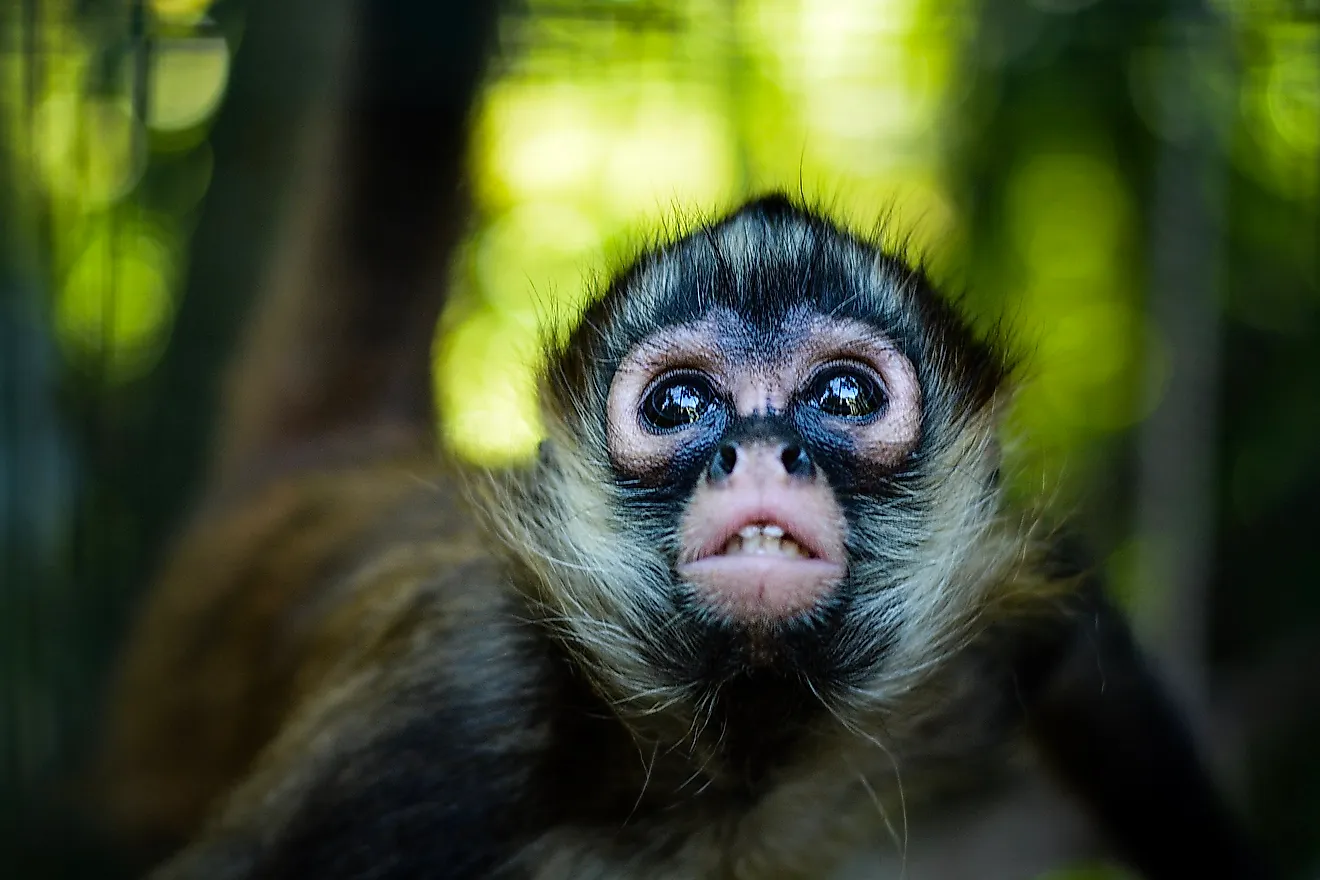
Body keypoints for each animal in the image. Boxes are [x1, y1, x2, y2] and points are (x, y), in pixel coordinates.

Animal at [93, 1, 1267, 880]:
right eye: (676, 407)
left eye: (843, 395)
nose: (759, 450)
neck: (733, 754)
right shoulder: (455, 704)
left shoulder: (993, 612)